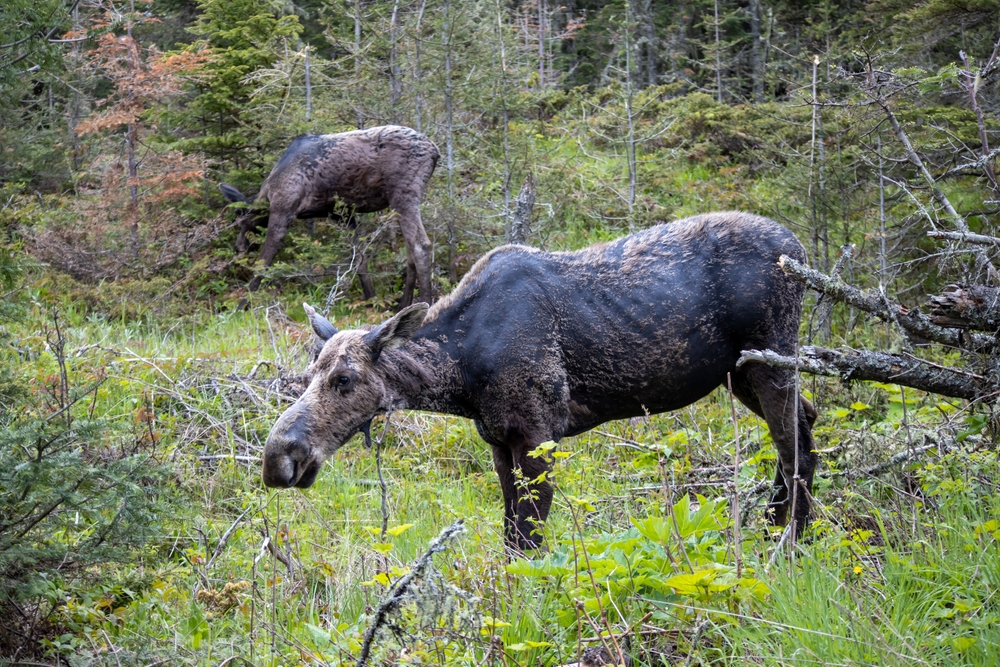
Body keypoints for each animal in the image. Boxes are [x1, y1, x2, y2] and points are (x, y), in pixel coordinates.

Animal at [221, 124, 440, 306]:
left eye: (241, 220)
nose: (238, 246)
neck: (267, 193)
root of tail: (435, 152)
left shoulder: (283, 208)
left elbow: (263, 263)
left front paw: (242, 306)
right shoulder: (342, 214)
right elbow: (359, 259)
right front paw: (371, 301)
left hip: (403, 195)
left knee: (421, 246)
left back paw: (426, 304)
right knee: (410, 251)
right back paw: (404, 305)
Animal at [262, 211, 816, 552]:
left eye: (345, 379)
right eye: (309, 374)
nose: (278, 458)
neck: (460, 375)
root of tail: (800, 249)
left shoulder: (538, 435)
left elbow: (528, 540)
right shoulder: (498, 441)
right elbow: (511, 537)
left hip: (770, 358)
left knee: (792, 447)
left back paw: (786, 543)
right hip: (741, 373)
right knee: (806, 424)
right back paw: (783, 533)